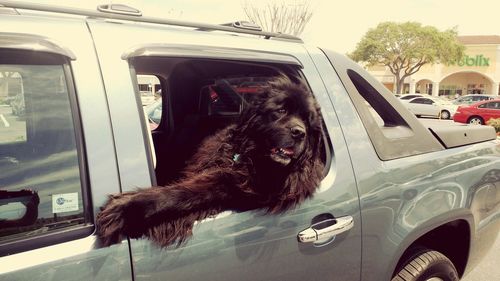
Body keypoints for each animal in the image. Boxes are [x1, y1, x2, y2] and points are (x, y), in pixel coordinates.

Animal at [97, 74, 324, 245]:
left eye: (307, 120)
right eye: (281, 110)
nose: (299, 133)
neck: (251, 158)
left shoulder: (234, 187)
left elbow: (183, 194)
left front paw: (124, 209)